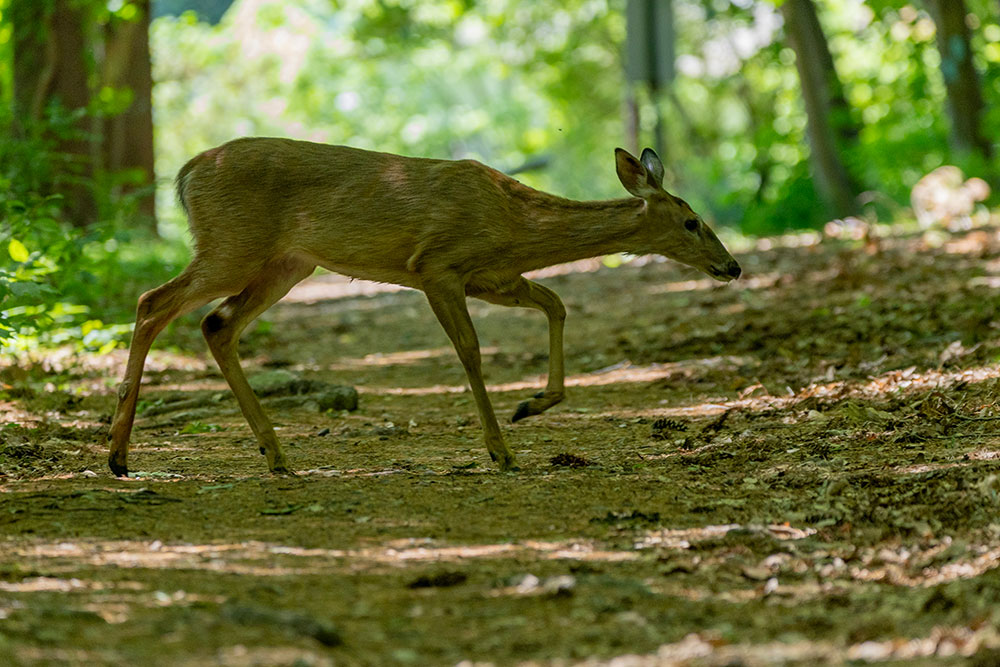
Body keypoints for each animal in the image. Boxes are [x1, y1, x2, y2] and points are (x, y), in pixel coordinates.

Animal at [107, 138, 741, 476]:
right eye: (691, 221)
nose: (732, 266)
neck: (517, 225)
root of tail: (187, 173)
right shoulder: (437, 266)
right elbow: (470, 351)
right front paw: (500, 449)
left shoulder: (494, 277)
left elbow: (557, 304)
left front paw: (533, 405)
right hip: (233, 245)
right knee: (153, 302)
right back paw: (117, 454)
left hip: (287, 264)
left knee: (217, 323)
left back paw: (277, 454)